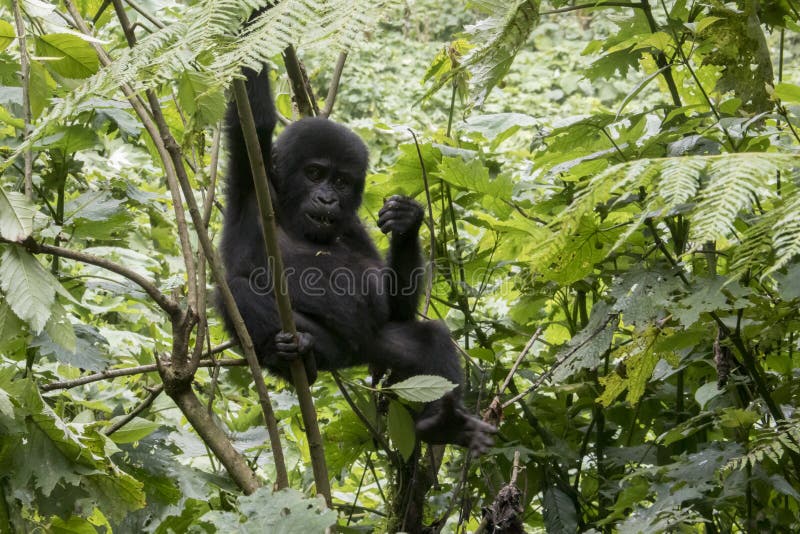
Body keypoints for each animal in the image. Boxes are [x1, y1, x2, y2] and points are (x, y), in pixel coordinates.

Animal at [220, 68, 494, 456]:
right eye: (315, 174)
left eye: (341, 181)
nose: (327, 199)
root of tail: (348, 357)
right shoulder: (252, 179)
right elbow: (253, 122)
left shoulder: (354, 226)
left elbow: (392, 304)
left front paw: (406, 223)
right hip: (329, 345)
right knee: (234, 290)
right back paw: (290, 354)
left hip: (371, 344)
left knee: (429, 338)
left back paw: (444, 424)